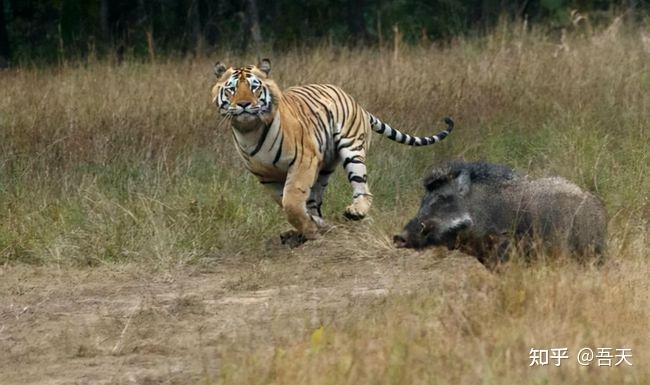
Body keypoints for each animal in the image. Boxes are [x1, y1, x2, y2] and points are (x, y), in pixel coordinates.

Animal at [210, 57, 454, 243]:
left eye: (254, 87)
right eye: (232, 89)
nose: (243, 104)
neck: (249, 130)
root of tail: (356, 102)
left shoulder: (303, 161)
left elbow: (292, 202)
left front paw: (310, 231)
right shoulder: (266, 177)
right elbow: (289, 203)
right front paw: (312, 226)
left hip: (351, 149)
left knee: (362, 187)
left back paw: (356, 211)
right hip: (324, 167)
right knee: (315, 200)